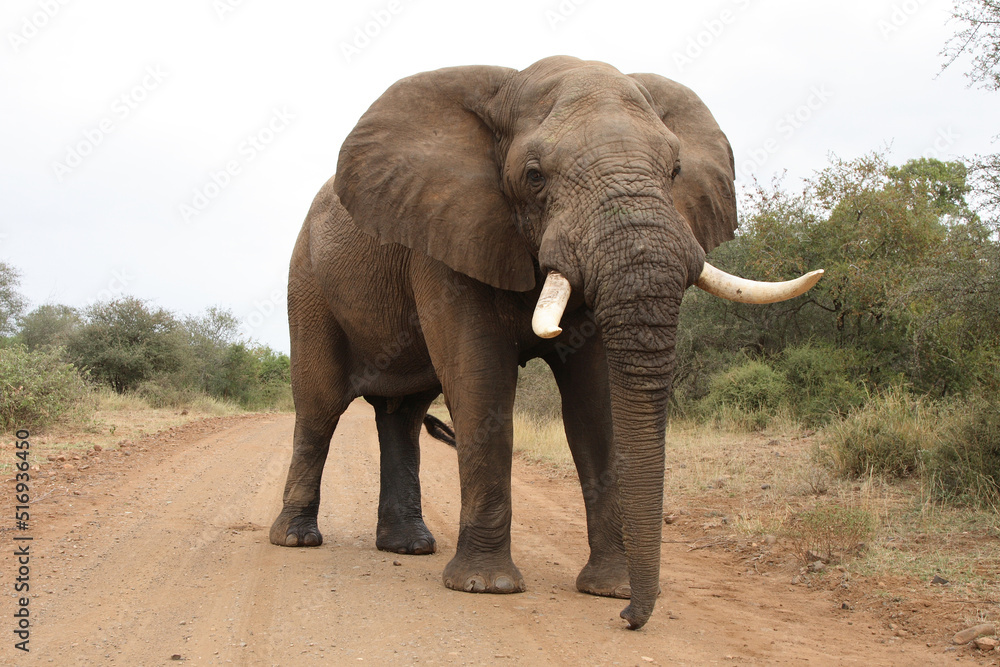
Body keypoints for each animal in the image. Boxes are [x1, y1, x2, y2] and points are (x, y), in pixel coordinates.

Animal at [269, 56, 822, 630]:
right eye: (534, 176)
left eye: (674, 172)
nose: (631, 619)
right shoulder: (447, 238)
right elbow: (481, 385)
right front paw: (486, 587)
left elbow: (595, 405)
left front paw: (610, 588)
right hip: (307, 282)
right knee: (320, 406)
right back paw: (297, 540)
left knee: (402, 414)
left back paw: (410, 547)